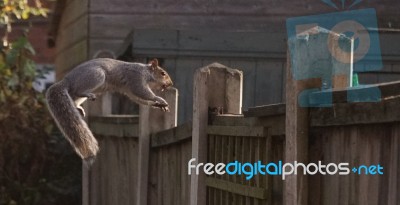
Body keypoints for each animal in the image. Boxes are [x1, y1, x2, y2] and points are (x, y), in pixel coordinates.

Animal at [45, 58, 173, 165]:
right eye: (163, 73)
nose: (171, 84)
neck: (145, 71)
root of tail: (67, 80)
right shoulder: (136, 78)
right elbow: (143, 92)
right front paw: (159, 99)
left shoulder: (129, 89)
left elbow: (138, 99)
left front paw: (158, 104)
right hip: (96, 76)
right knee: (78, 91)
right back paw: (86, 94)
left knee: (73, 97)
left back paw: (78, 107)